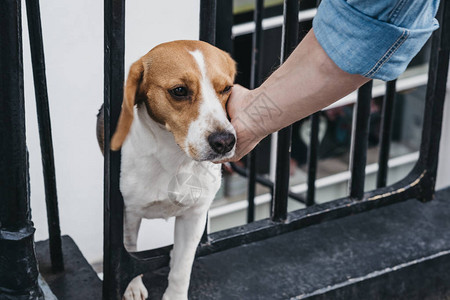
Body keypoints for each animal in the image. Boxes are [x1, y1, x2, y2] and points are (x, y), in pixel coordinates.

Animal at [97, 40, 237, 300]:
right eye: (179, 91)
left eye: (226, 88)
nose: (224, 142)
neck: (175, 158)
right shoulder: (128, 214)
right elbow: (130, 251)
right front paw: (132, 287)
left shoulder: (194, 216)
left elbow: (182, 265)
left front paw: (175, 295)